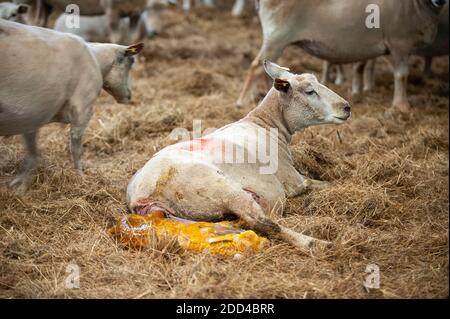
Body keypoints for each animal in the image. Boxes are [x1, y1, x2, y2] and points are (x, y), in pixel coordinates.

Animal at [126, 60, 352, 252]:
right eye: (310, 91)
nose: (347, 107)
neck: (267, 125)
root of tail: (141, 194)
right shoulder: (294, 181)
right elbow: (324, 183)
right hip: (222, 189)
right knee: (263, 222)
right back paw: (317, 244)